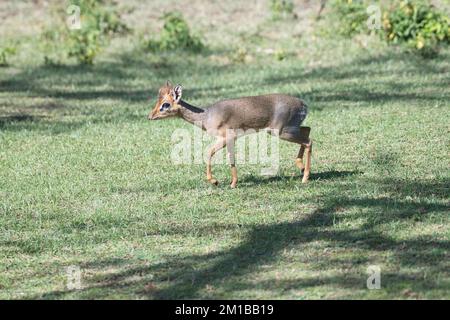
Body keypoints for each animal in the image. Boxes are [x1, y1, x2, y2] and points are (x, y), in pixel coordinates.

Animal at [149, 81, 312, 189]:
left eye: (165, 104)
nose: (150, 116)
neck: (206, 116)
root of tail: (303, 105)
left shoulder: (226, 137)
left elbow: (209, 153)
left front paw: (215, 181)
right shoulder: (229, 139)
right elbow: (230, 158)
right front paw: (233, 183)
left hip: (281, 132)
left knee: (308, 141)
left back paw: (305, 178)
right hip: (289, 129)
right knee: (308, 130)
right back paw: (301, 167)